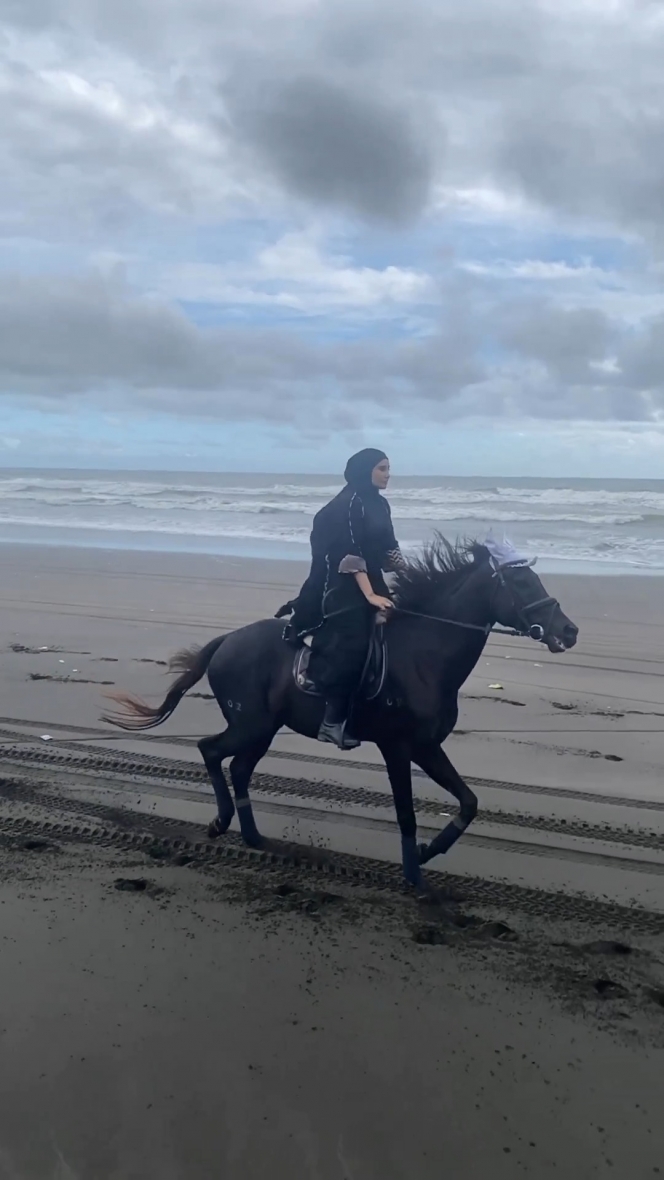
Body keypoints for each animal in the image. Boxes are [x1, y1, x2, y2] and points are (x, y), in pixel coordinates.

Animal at [103, 535, 577, 887]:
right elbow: (406, 813)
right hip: (251, 724)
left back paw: (252, 834)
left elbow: (468, 802)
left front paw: (428, 852)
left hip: (265, 729)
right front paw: (414, 876)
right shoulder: (398, 747)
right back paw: (222, 821)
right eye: (522, 584)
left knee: (236, 766)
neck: (424, 654)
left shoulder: (427, 747)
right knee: (210, 749)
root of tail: (227, 640)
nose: (569, 630)